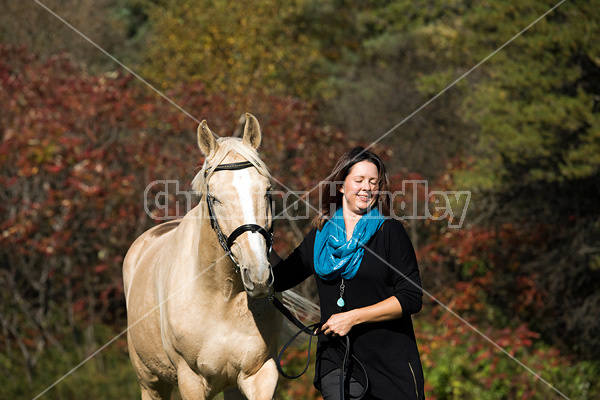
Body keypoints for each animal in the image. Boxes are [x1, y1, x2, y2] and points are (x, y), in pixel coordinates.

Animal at [123, 114, 282, 398]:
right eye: (215, 198)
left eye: (267, 191)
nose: (259, 276)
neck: (223, 296)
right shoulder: (191, 380)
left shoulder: (261, 374)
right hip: (150, 383)